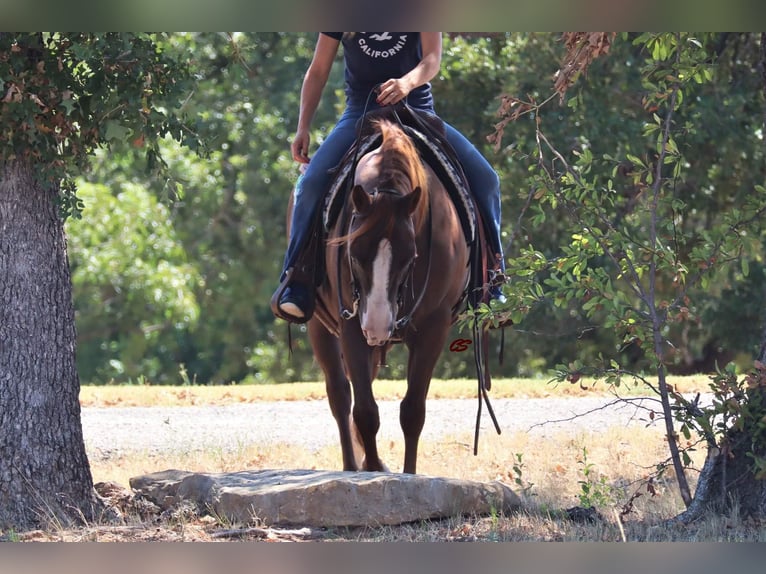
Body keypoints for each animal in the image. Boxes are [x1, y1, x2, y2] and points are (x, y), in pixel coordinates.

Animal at [306, 115, 474, 474]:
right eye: (353, 254)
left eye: (410, 257)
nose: (378, 324)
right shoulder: (351, 323)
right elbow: (365, 411)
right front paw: (370, 469)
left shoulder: (434, 327)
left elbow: (413, 412)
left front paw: (408, 475)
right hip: (320, 327)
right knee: (340, 395)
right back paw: (352, 465)